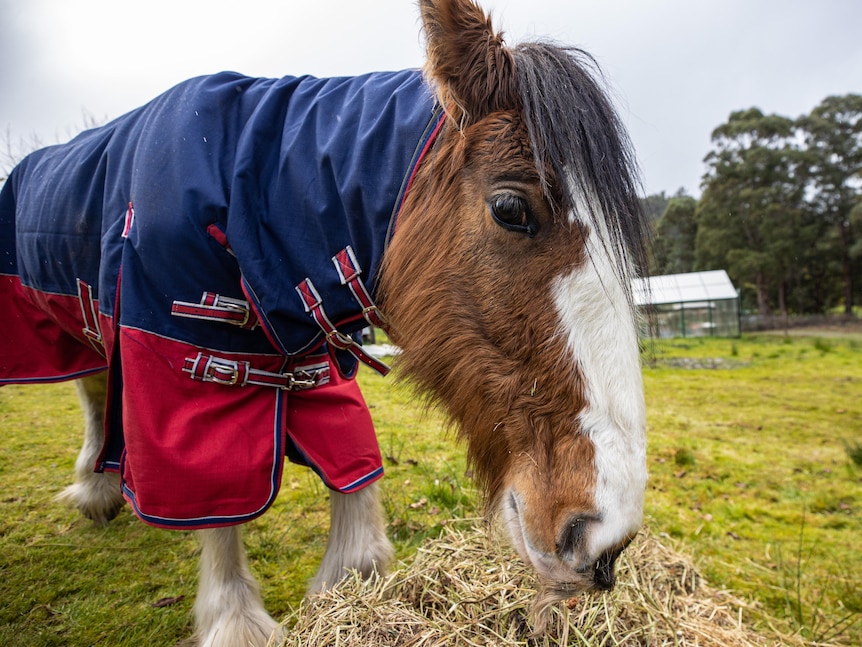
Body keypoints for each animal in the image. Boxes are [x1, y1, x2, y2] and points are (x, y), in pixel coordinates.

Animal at [0, 0, 648, 644]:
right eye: (511, 209)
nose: (605, 540)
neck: (248, 195)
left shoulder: (312, 352)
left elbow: (351, 452)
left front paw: (349, 580)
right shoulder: (178, 360)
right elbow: (213, 487)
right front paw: (233, 617)